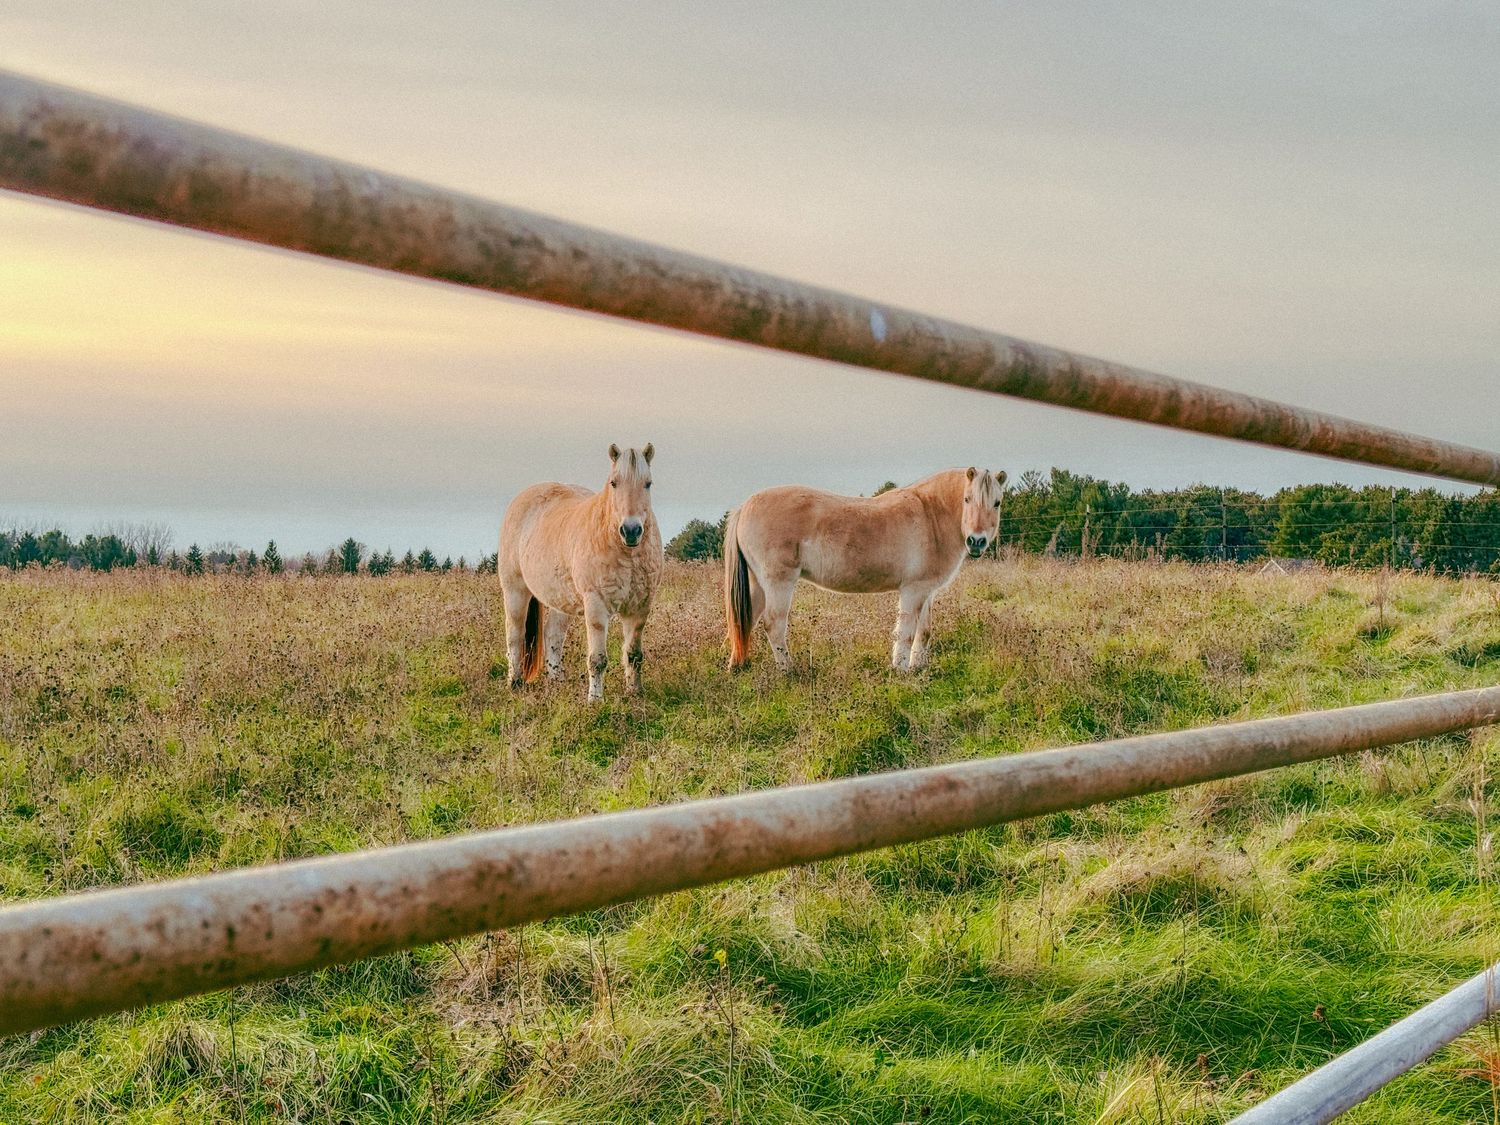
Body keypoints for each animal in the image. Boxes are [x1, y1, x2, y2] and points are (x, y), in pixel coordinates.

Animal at [498, 444, 663, 701]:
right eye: (614, 483)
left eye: (648, 483)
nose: (631, 530)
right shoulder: (596, 605)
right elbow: (597, 659)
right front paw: (595, 700)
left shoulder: (639, 607)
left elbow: (633, 655)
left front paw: (635, 692)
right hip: (515, 591)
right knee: (515, 635)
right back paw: (515, 683)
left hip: (560, 599)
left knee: (553, 636)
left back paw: (557, 681)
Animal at [724, 467, 1007, 672]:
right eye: (967, 499)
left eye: (997, 503)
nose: (977, 541)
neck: (931, 516)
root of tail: (745, 506)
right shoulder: (913, 591)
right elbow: (906, 632)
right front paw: (901, 670)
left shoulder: (927, 591)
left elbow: (923, 632)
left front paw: (918, 668)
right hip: (778, 582)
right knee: (773, 624)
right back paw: (788, 671)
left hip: (759, 585)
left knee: (745, 621)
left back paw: (738, 667)